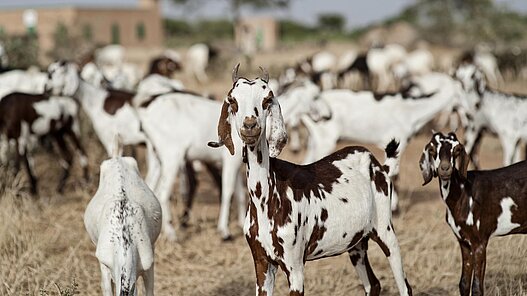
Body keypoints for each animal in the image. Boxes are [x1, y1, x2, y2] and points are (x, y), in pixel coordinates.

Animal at [208, 65, 414, 296]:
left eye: (267, 99)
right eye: (232, 100)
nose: (250, 126)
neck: (267, 197)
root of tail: (379, 165)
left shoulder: (295, 267)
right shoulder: (261, 263)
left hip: (385, 231)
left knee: (405, 286)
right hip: (357, 244)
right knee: (373, 284)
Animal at [420, 132, 527, 296]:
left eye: (456, 150)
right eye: (432, 150)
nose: (445, 168)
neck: (464, 192)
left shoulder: (480, 242)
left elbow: (477, 287)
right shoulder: (464, 242)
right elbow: (463, 284)